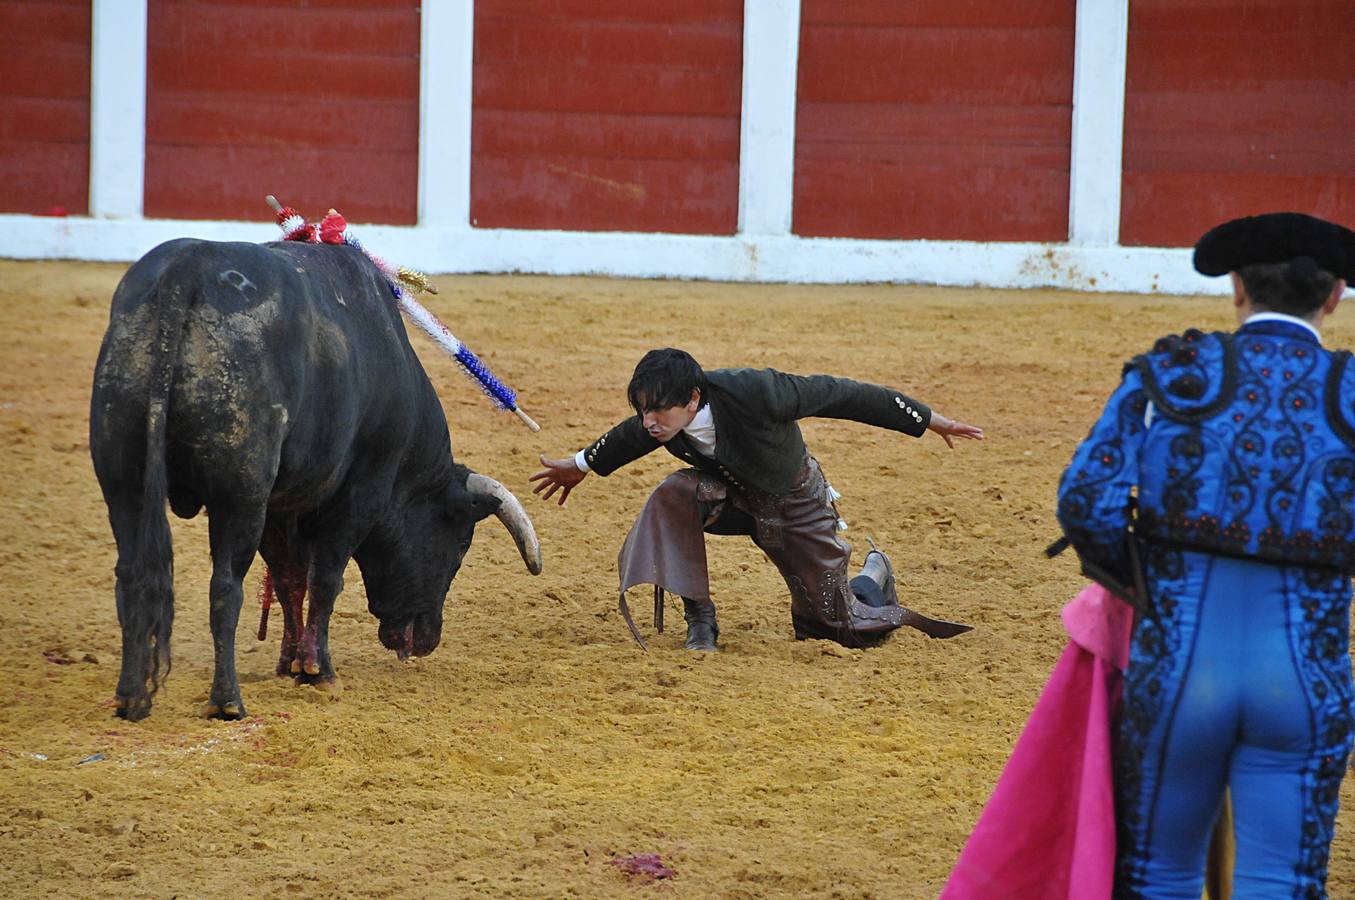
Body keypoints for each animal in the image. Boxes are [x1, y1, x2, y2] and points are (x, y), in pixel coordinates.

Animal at [86, 237, 544, 715]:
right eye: (459, 547)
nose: (427, 640)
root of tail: (186, 268)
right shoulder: (360, 496)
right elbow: (326, 578)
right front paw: (319, 671)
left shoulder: (279, 506)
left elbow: (290, 579)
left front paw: (291, 664)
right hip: (239, 496)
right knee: (225, 586)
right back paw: (226, 700)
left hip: (124, 483)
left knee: (132, 574)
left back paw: (129, 696)